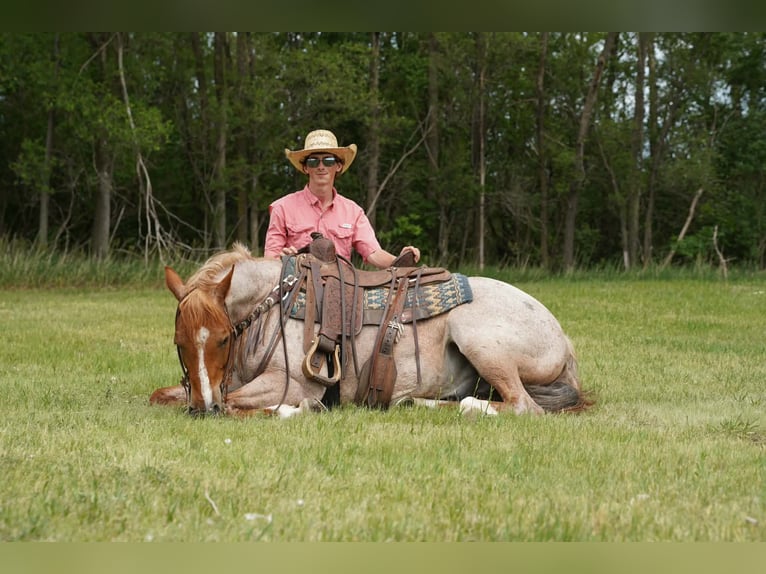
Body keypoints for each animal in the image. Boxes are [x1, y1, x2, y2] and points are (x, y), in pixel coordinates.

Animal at [149, 243, 591, 418]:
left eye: (223, 338)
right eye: (179, 343)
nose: (202, 408)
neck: (273, 303)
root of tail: (564, 340)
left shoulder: (293, 383)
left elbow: (238, 402)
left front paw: (299, 410)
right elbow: (161, 396)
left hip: (482, 343)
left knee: (520, 406)